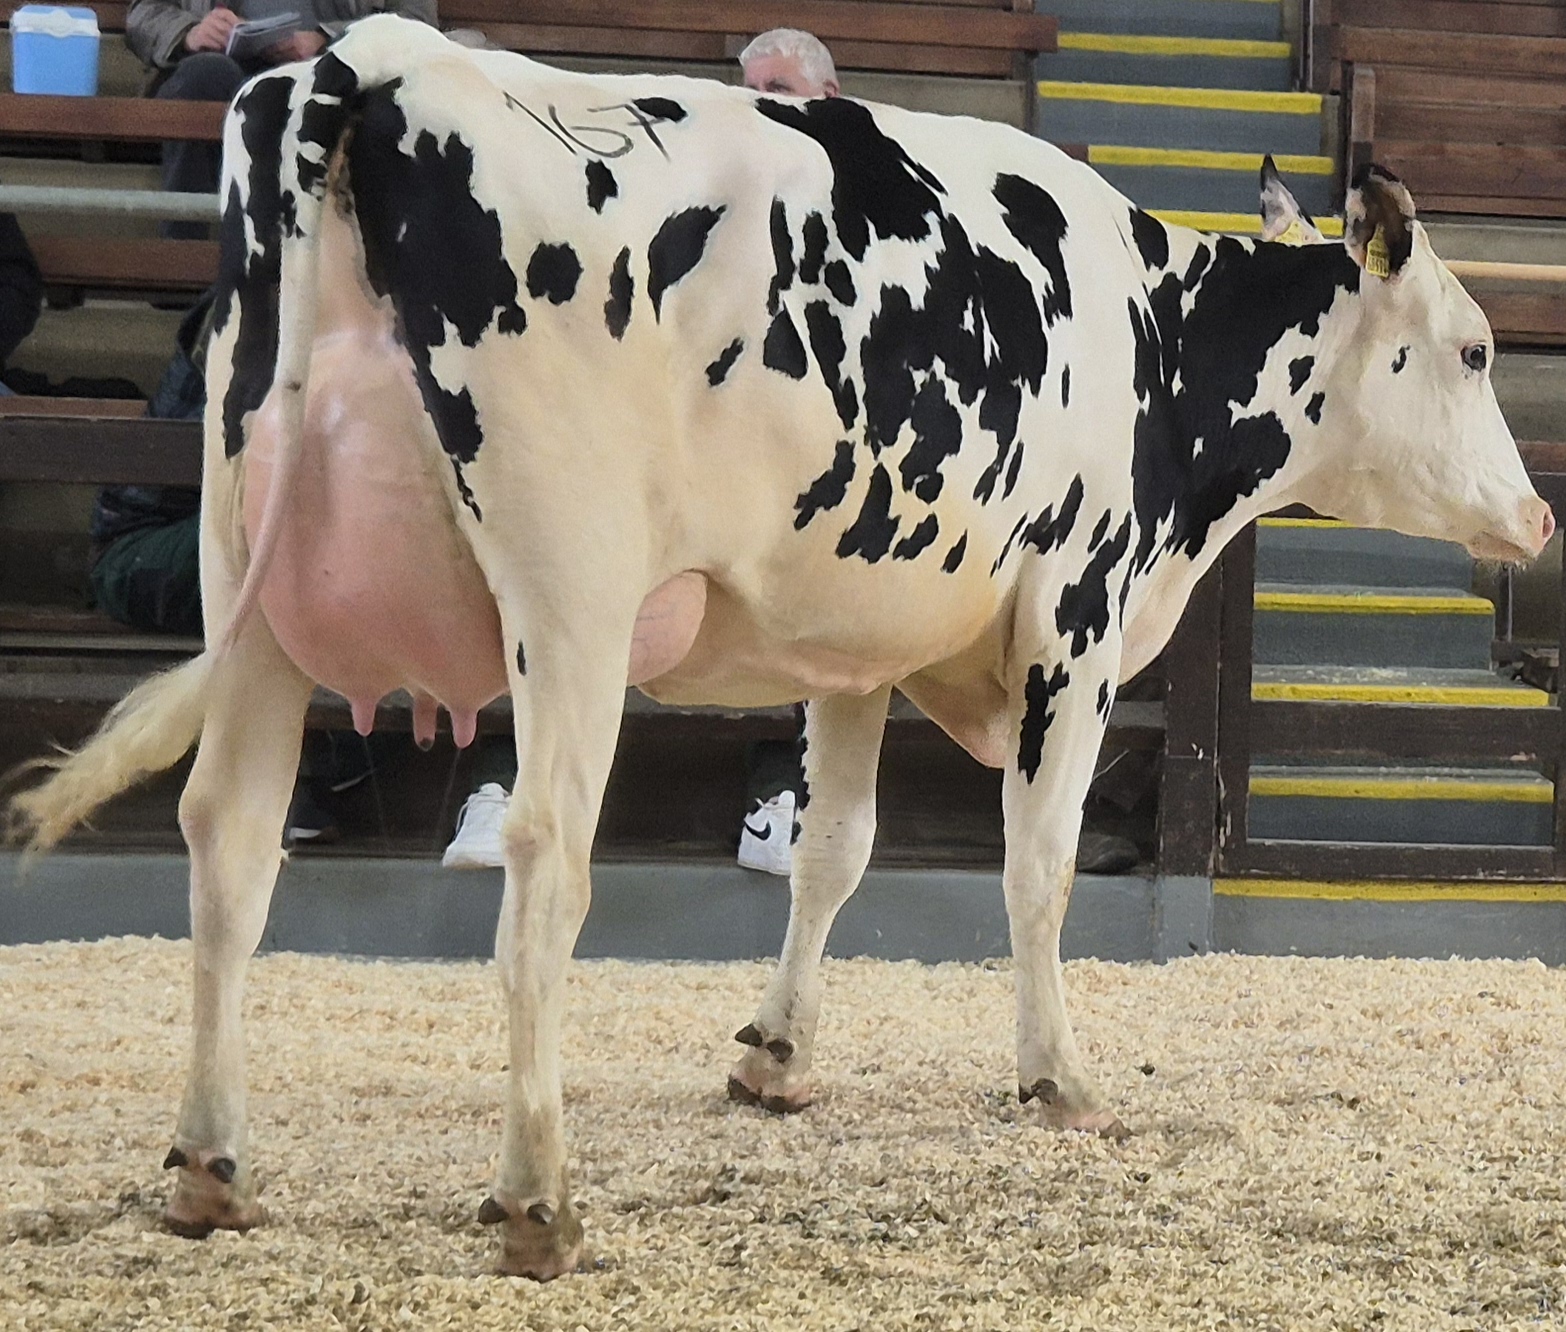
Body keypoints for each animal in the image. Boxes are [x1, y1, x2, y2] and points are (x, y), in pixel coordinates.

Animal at [12, 13, 1553, 1283]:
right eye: (1477, 349)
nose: (1537, 515)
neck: (1157, 346)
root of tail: (381, 61)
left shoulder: (851, 640)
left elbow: (835, 851)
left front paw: (777, 1056)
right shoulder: (1078, 613)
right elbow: (1039, 862)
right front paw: (1057, 1078)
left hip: (252, 586)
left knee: (228, 840)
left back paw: (210, 1169)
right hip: (568, 592)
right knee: (543, 862)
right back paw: (538, 1201)